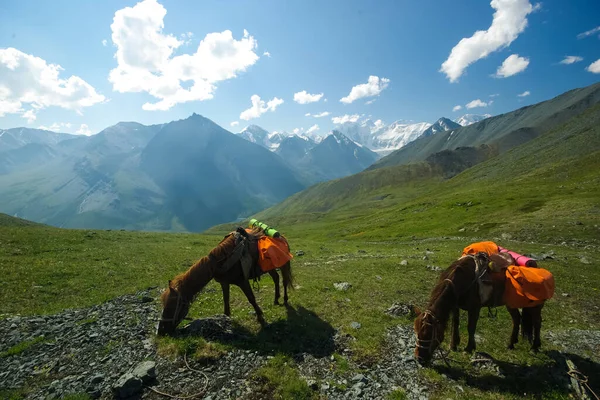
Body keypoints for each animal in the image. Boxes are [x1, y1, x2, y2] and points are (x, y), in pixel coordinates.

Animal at [157, 227, 292, 336]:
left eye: (173, 305)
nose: (161, 331)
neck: (219, 263)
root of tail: (282, 237)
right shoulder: (224, 283)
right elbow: (226, 301)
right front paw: (225, 319)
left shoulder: (243, 282)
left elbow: (251, 299)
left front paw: (260, 317)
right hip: (269, 267)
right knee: (276, 278)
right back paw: (276, 299)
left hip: (283, 264)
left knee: (285, 280)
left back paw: (285, 299)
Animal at [414, 253, 548, 366]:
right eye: (417, 332)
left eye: (429, 334)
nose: (419, 359)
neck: (464, 279)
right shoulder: (455, 306)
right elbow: (455, 324)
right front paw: (453, 345)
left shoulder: (475, 308)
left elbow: (470, 327)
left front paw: (469, 348)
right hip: (510, 304)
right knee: (516, 319)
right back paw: (510, 344)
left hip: (534, 307)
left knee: (537, 322)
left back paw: (535, 347)